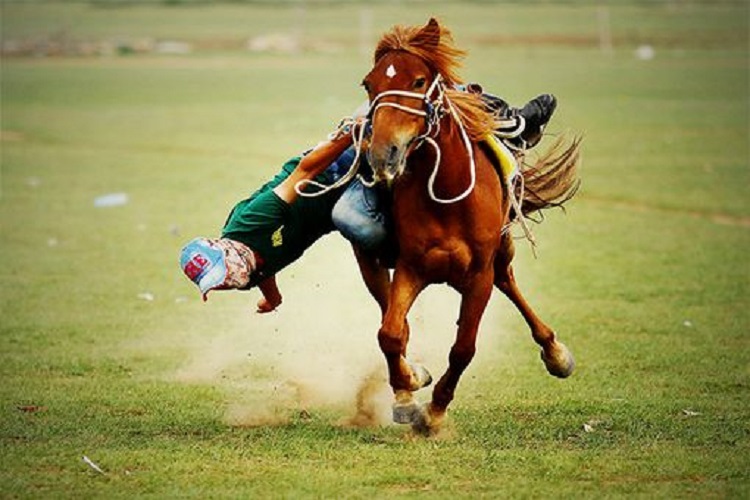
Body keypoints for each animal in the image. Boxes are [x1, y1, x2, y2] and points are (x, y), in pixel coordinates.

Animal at [356, 17, 584, 436]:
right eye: (369, 83)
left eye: (418, 80)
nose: (383, 154)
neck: (446, 191)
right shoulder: (412, 267)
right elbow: (390, 333)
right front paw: (407, 398)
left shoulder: (478, 275)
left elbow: (464, 347)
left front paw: (435, 411)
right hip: (372, 262)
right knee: (394, 320)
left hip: (501, 253)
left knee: (508, 281)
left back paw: (555, 352)